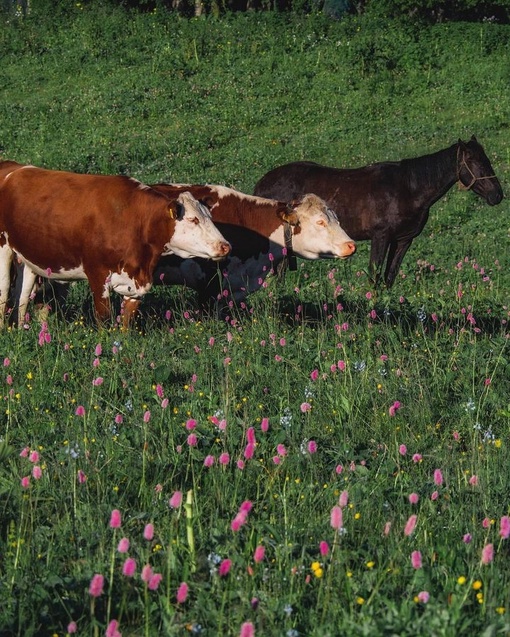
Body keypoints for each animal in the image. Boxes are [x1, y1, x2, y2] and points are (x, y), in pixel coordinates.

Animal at [0, 164, 231, 326]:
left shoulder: (136, 283)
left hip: (27, 259)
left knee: (21, 297)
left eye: (209, 217)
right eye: (193, 219)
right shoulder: (97, 274)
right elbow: (103, 318)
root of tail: (12, 167)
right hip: (3, 250)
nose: (225, 246)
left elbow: (127, 321)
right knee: (4, 293)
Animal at [253, 139, 504, 288]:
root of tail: (262, 184)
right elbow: (374, 274)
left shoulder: (403, 240)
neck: (408, 188)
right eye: (471, 160)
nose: (497, 195)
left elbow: (389, 276)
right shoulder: (380, 237)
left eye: (487, 159)